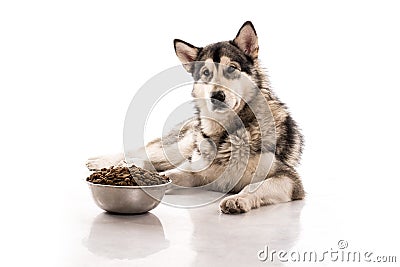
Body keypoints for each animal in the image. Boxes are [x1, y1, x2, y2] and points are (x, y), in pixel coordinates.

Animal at [86, 21, 304, 215]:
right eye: (206, 72)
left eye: (232, 68)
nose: (216, 96)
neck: (227, 134)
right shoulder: (198, 172)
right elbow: (172, 175)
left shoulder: (288, 179)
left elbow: (254, 187)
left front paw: (237, 199)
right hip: (179, 148)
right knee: (144, 152)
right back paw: (108, 161)